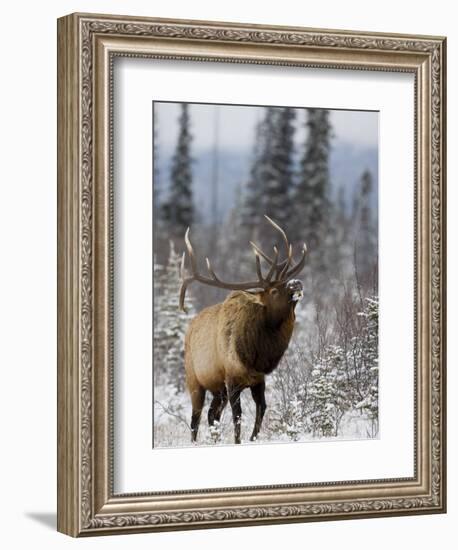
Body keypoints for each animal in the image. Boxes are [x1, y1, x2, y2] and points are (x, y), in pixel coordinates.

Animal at [179, 216, 308, 444]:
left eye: (285, 282)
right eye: (274, 291)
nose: (296, 283)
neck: (257, 355)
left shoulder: (258, 380)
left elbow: (261, 410)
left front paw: (252, 438)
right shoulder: (232, 380)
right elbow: (237, 417)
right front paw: (238, 441)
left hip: (217, 389)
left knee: (212, 414)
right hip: (194, 380)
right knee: (196, 418)